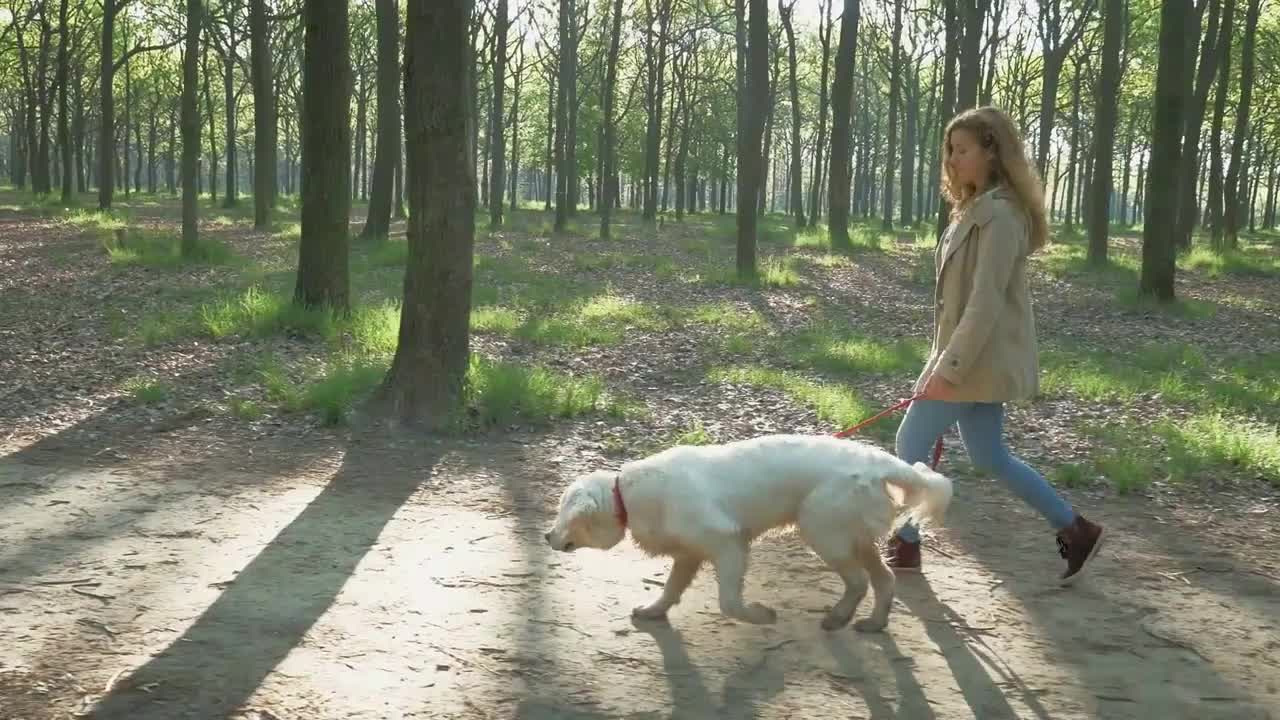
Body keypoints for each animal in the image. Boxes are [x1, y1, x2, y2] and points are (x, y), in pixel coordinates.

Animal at [540, 430, 952, 627]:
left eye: (562, 513)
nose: (546, 536)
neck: (627, 494)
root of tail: (879, 461)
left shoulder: (729, 545)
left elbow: (729, 603)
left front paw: (759, 615)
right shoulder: (688, 555)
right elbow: (671, 590)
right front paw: (654, 610)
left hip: (823, 532)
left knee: (860, 581)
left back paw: (839, 617)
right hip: (853, 537)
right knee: (884, 579)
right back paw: (873, 623)